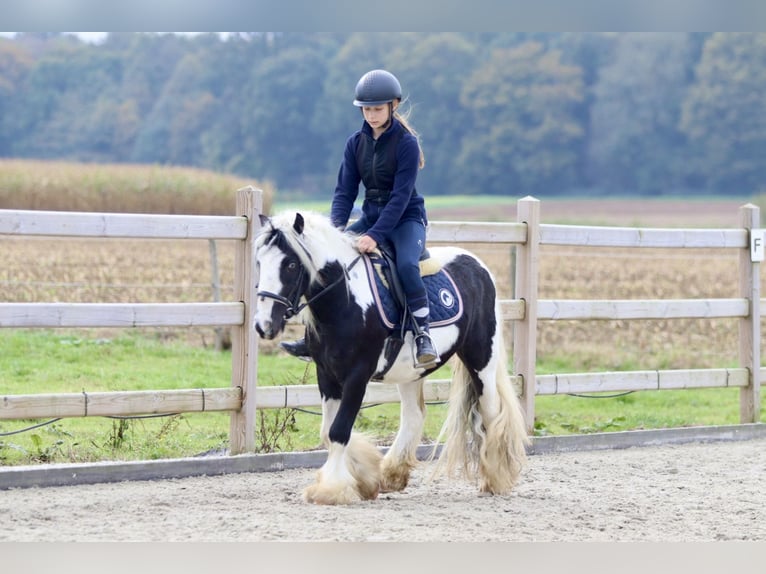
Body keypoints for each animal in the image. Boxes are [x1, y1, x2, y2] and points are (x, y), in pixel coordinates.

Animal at [255, 214, 532, 506]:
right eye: (259, 262)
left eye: (291, 264)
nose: (264, 326)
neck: (346, 301)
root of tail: (477, 264)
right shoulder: (326, 374)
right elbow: (327, 430)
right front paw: (363, 479)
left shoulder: (358, 376)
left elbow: (338, 431)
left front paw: (331, 489)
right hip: (411, 371)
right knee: (414, 416)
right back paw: (392, 474)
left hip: (482, 360)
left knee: (491, 412)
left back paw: (495, 478)